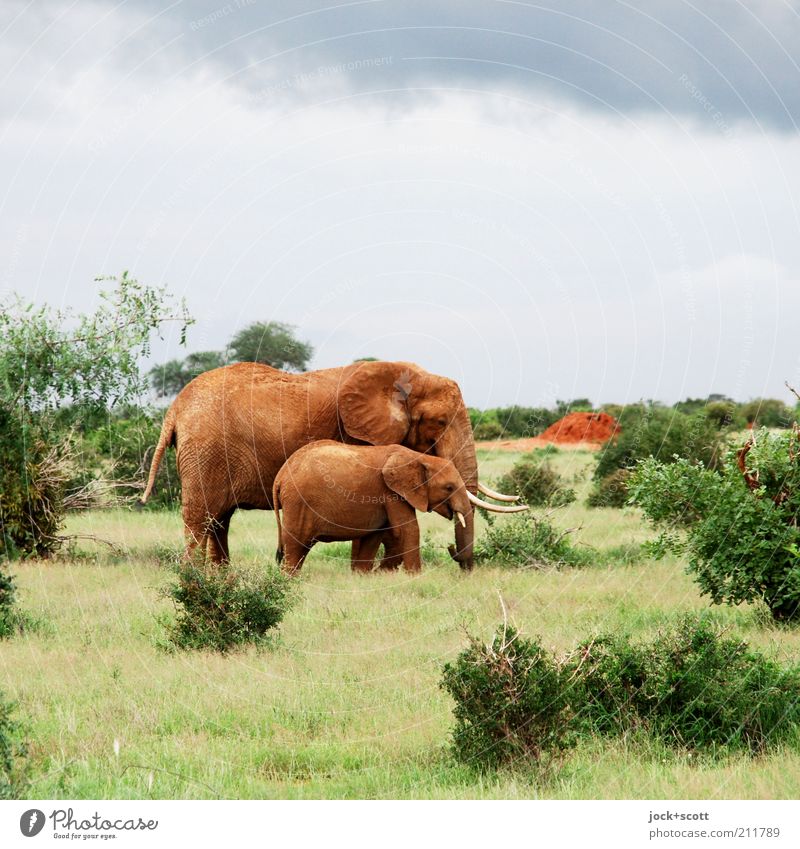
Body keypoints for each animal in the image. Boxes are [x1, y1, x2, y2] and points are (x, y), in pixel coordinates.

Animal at [272, 440, 472, 572]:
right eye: (449, 487)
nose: (450, 546)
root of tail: (280, 476)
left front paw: (361, 577)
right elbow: (409, 529)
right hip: (298, 503)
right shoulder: (391, 491)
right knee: (295, 546)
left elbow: (374, 536)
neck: (419, 457)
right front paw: (415, 576)